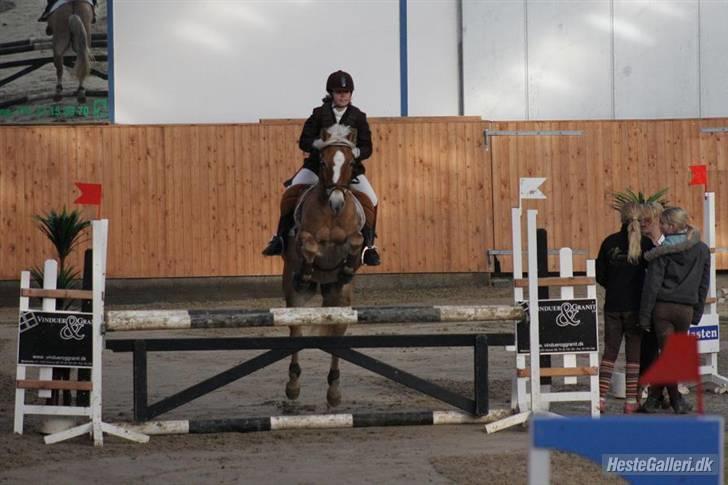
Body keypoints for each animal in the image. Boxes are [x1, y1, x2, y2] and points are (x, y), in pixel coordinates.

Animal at [282, 123, 366, 406]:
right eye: (322, 162)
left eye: (351, 162)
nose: (337, 203)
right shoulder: (303, 238)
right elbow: (308, 245)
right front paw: (307, 271)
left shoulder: (354, 237)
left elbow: (356, 240)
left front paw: (348, 267)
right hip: (294, 296)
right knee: (296, 332)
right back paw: (293, 385)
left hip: (339, 298)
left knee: (336, 335)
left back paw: (334, 390)